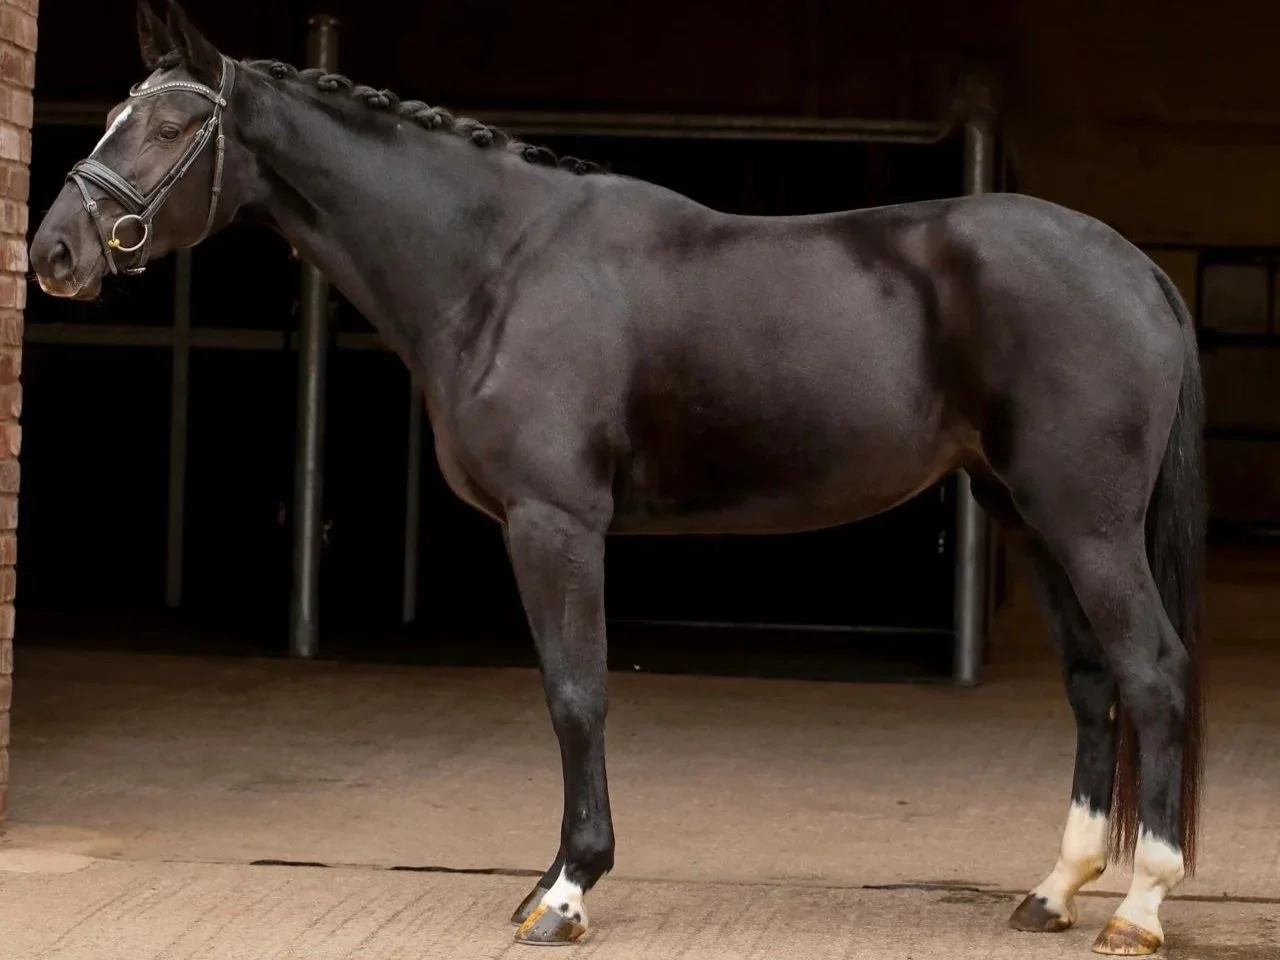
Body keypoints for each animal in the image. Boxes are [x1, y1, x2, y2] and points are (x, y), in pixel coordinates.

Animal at [29, 2, 1206, 954]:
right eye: (113, 116)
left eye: (171, 126)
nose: (54, 254)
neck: (496, 265)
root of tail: (1138, 269)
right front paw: (550, 881)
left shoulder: (552, 524)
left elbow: (575, 694)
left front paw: (566, 892)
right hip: (1025, 515)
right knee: (1091, 682)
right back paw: (1054, 890)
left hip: (1086, 525)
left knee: (1149, 671)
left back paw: (1142, 907)